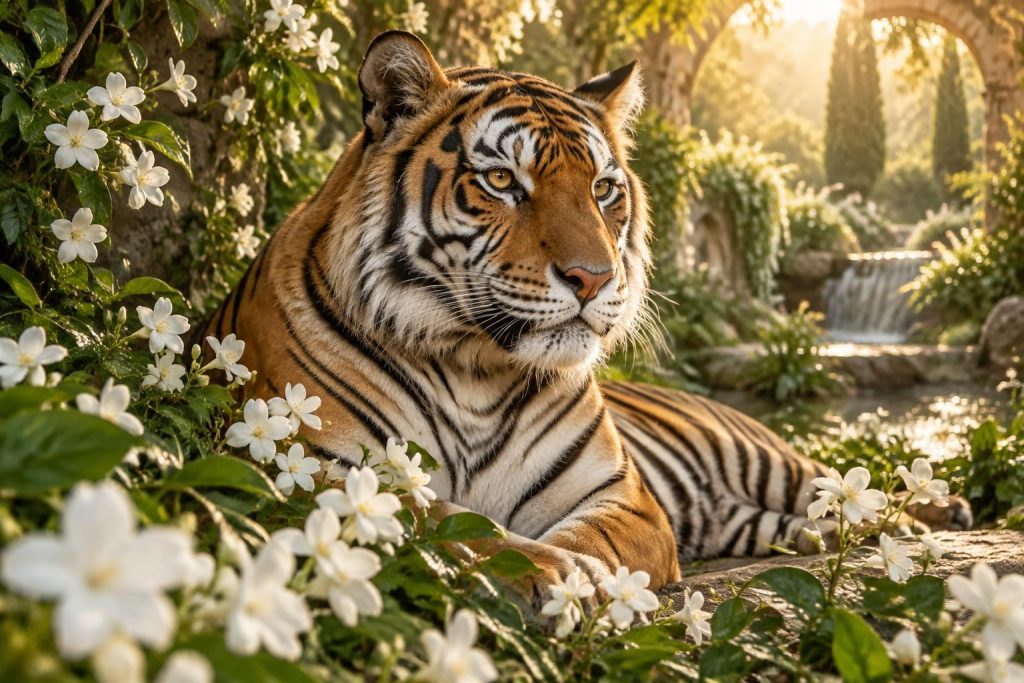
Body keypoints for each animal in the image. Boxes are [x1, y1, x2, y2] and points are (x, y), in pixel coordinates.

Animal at [203, 30, 970, 598]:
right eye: (502, 180)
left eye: (603, 188)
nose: (595, 277)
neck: (472, 365)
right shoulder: (309, 461)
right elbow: (451, 521)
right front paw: (548, 571)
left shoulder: (622, 495)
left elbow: (588, 536)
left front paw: (579, 573)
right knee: (815, 519)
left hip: (769, 459)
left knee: (847, 485)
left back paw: (933, 512)